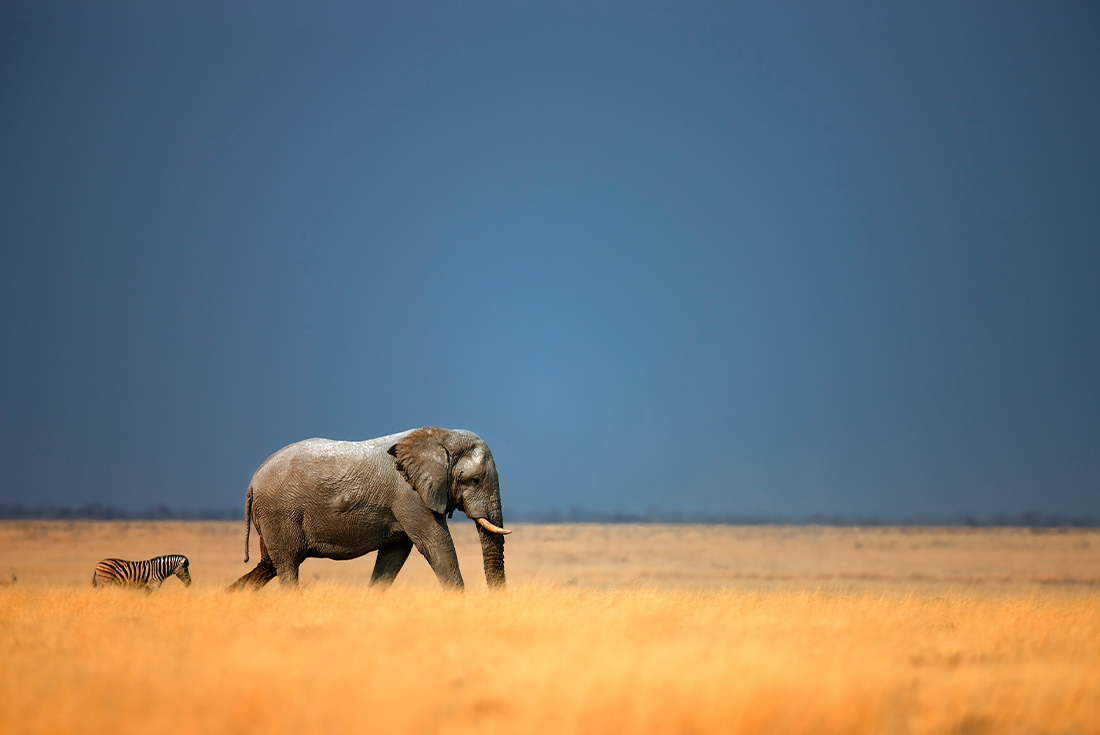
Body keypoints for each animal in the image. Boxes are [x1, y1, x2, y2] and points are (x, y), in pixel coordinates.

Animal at [227, 427, 509, 591]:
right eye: (474, 480)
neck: (441, 436)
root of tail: (253, 483)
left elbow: (394, 555)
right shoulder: (409, 495)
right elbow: (437, 544)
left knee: (268, 565)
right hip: (280, 512)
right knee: (286, 566)